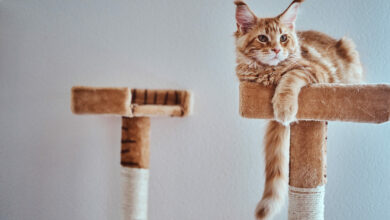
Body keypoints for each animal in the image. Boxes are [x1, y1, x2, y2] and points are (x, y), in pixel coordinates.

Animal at [233, 0, 364, 219]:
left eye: (283, 38)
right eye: (262, 38)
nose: (277, 50)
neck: (269, 73)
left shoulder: (313, 70)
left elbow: (289, 78)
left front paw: (284, 108)